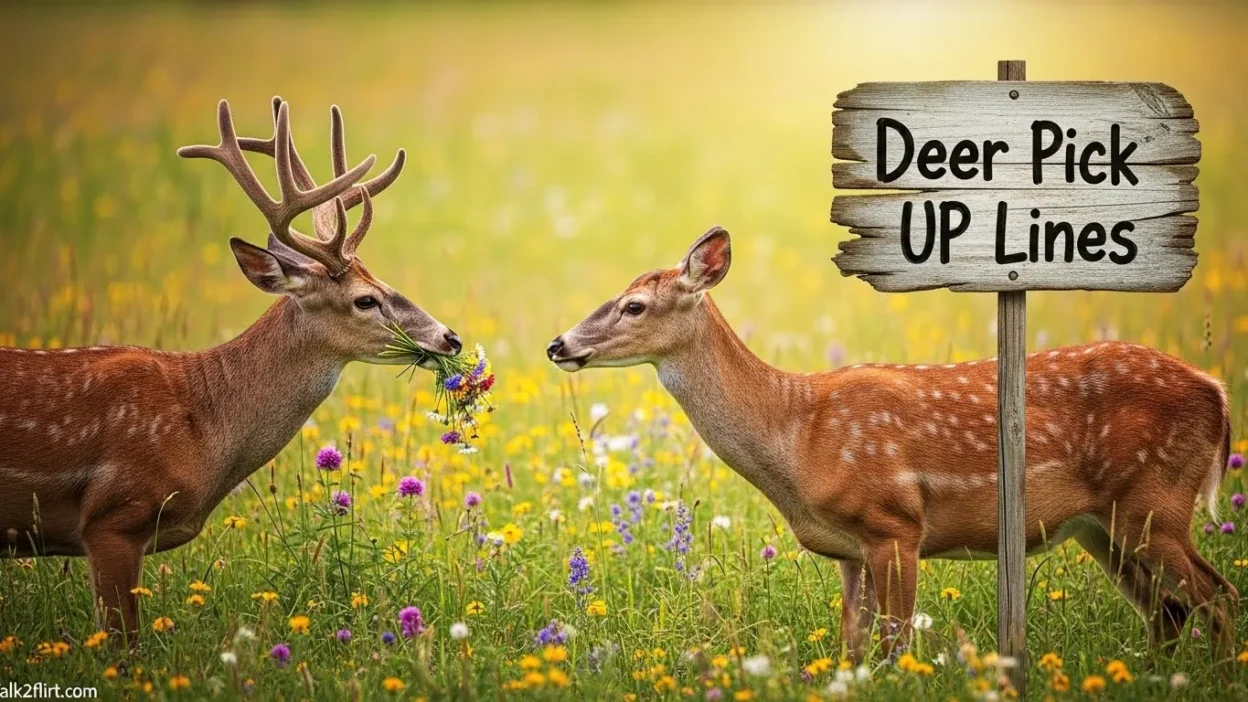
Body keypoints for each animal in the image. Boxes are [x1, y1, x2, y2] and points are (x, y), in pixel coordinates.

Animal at [548, 226, 1237, 661]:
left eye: (635, 306)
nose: (559, 345)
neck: (796, 434)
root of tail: (1217, 391)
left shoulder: (896, 522)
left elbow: (895, 641)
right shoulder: (849, 548)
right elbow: (854, 645)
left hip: (1155, 501)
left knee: (1216, 596)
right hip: (1104, 525)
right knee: (1166, 611)